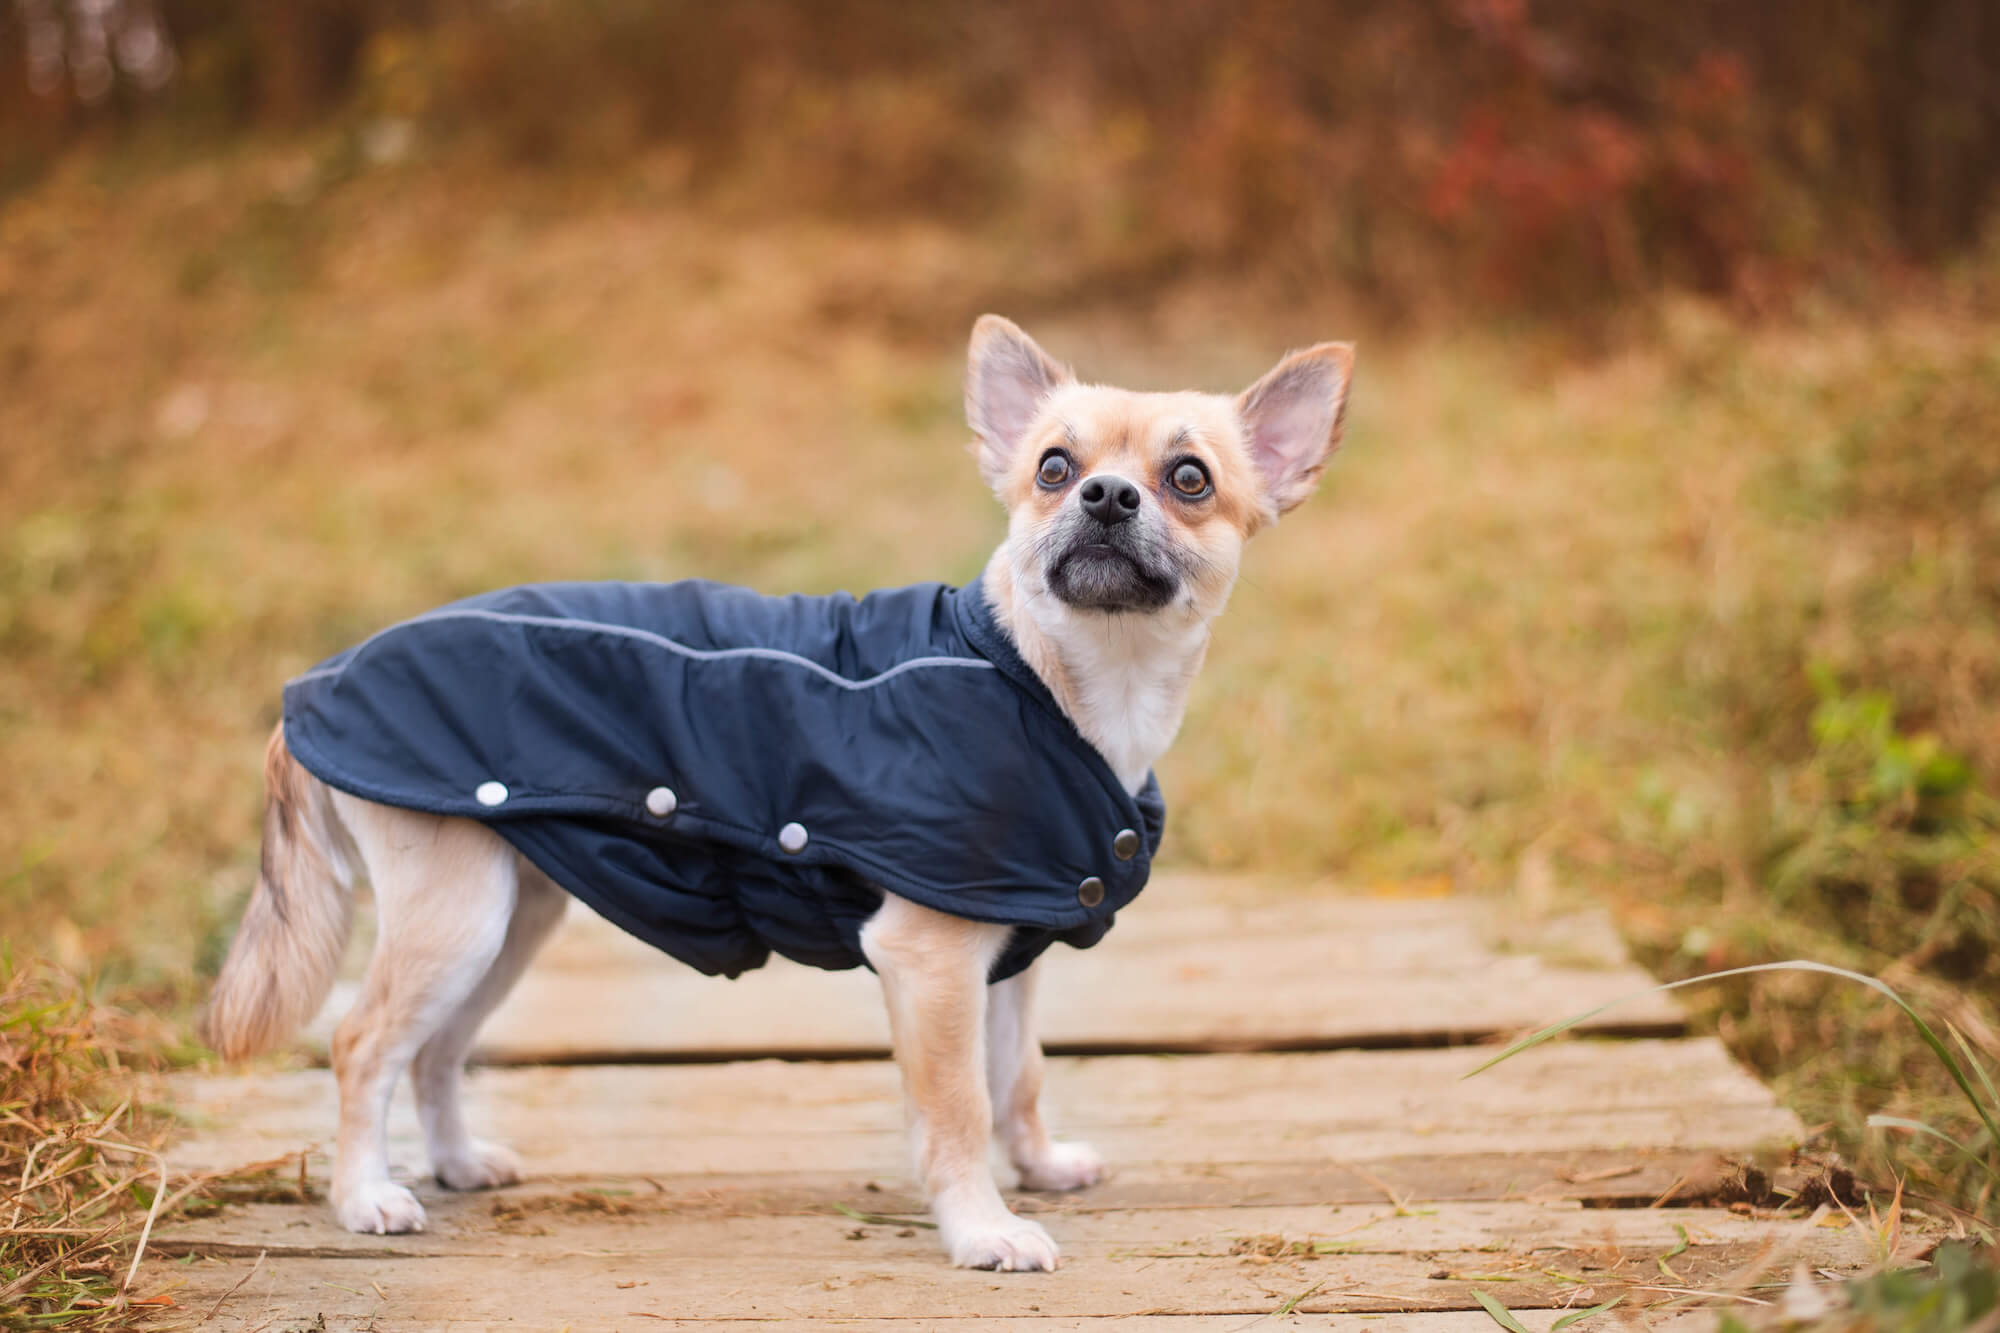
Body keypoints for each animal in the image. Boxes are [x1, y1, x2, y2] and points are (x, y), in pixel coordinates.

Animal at [203, 314, 1352, 1264]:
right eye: (1053, 467)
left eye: (1189, 479)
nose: (1104, 496)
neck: (1044, 677)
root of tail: (319, 682)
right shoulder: (929, 962)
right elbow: (955, 1110)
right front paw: (981, 1227)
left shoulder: (1006, 956)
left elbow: (1015, 1077)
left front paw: (1035, 1167)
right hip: (458, 920)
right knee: (361, 1044)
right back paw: (365, 1195)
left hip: (508, 920)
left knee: (435, 1049)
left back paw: (451, 1161)